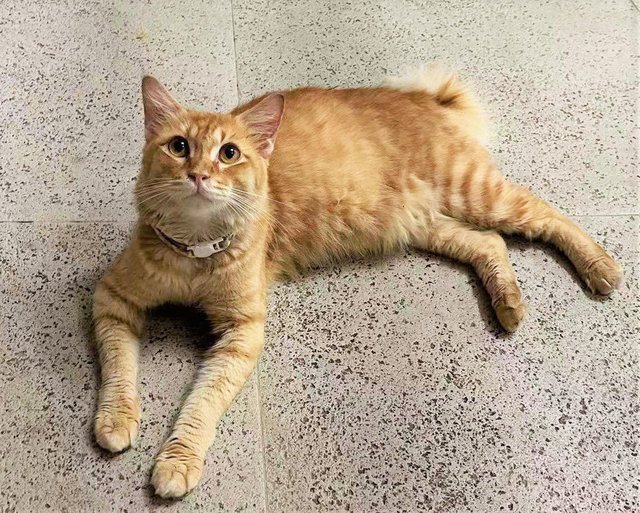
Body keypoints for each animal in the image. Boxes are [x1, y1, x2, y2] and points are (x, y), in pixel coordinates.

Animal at [92, 68, 624, 496]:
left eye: (229, 153)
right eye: (179, 147)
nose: (200, 175)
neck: (197, 254)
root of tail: (425, 98)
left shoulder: (242, 334)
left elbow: (200, 406)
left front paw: (176, 463)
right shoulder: (113, 298)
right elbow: (119, 372)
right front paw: (117, 419)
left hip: (477, 193)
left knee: (547, 214)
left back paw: (600, 267)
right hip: (428, 224)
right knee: (491, 244)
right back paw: (509, 303)